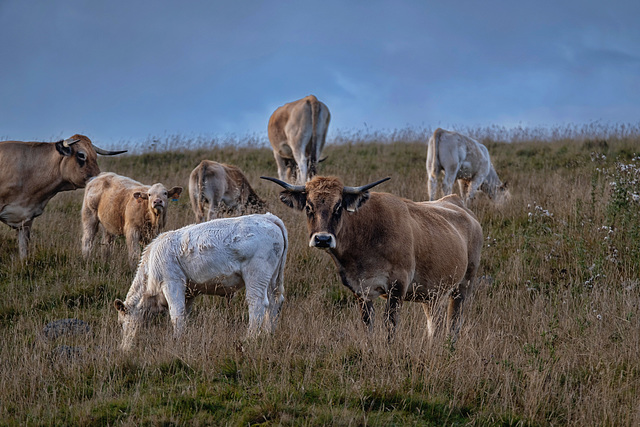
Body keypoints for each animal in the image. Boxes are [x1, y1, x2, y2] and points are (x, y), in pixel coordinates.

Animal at [112, 214, 288, 352]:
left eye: (121, 324)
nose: (124, 348)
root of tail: (268, 217)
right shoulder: (189, 293)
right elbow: (184, 314)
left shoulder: (172, 283)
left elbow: (176, 314)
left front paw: (176, 340)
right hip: (273, 279)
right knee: (275, 303)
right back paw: (268, 333)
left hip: (256, 276)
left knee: (257, 304)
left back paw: (250, 337)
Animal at [260, 175, 480, 342]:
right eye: (308, 207)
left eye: (338, 206)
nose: (322, 239)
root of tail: (456, 203)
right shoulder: (360, 289)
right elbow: (368, 324)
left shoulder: (397, 287)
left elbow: (390, 325)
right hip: (432, 294)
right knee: (434, 322)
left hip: (463, 286)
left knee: (454, 321)